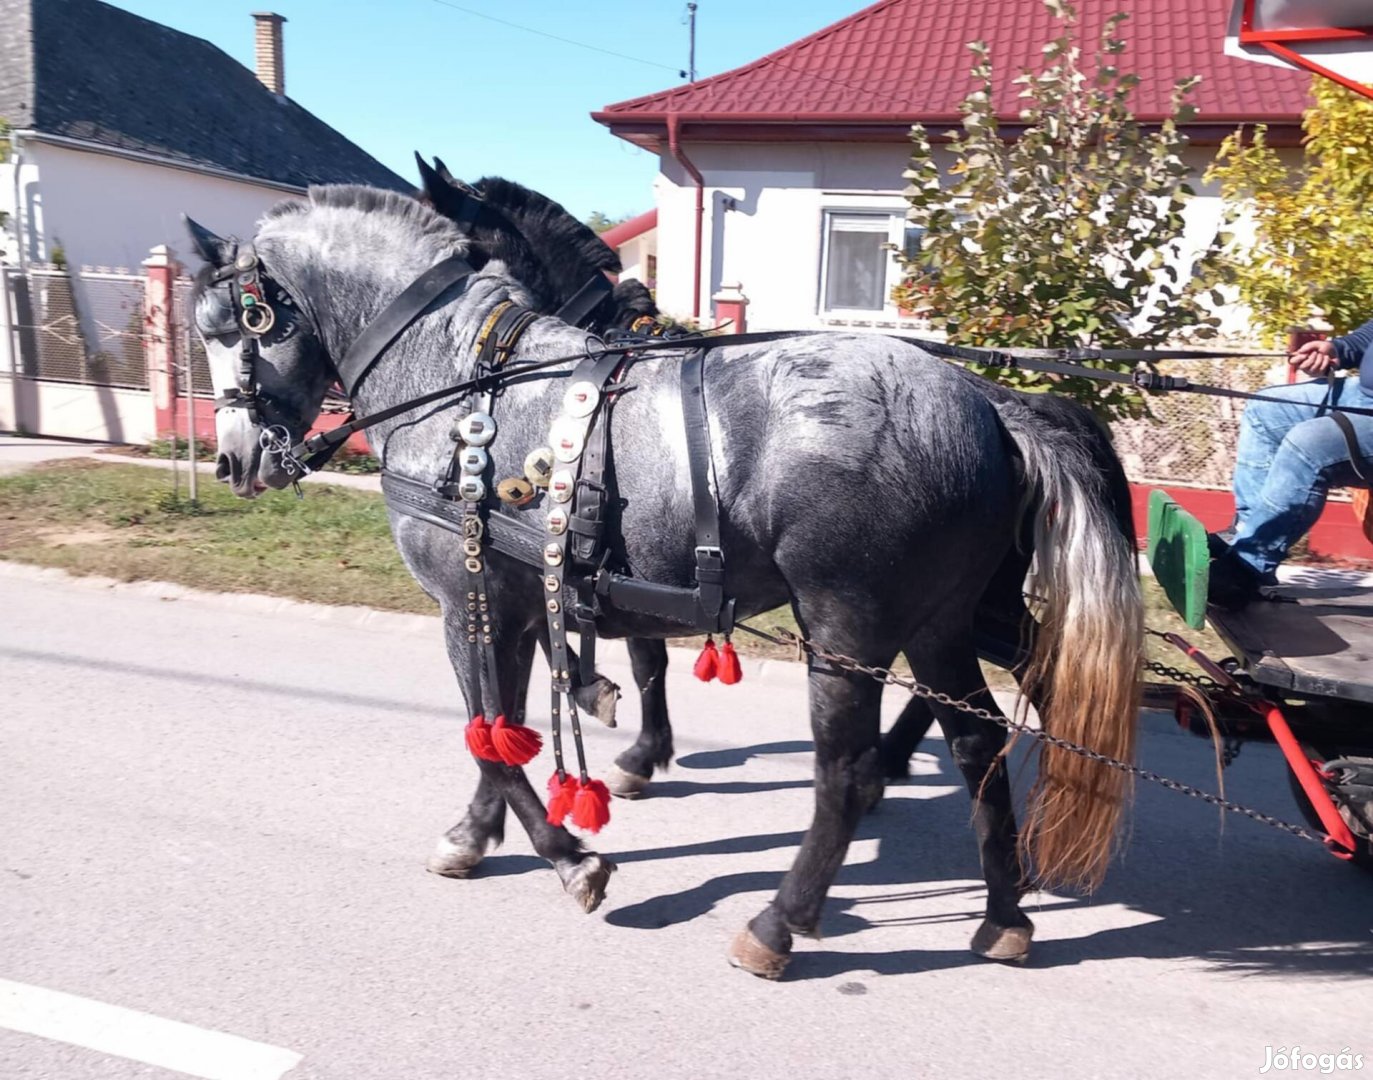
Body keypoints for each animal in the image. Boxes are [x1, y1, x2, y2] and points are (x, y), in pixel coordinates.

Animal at [188, 185, 1142, 982]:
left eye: (237, 324)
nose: (233, 458)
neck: (461, 380)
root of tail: (989, 401)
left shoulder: (465, 604)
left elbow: (489, 729)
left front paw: (571, 858)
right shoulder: (514, 600)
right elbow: (511, 722)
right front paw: (478, 833)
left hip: (850, 625)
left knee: (844, 772)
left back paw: (779, 922)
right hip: (940, 622)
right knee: (977, 740)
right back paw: (1003, 914)